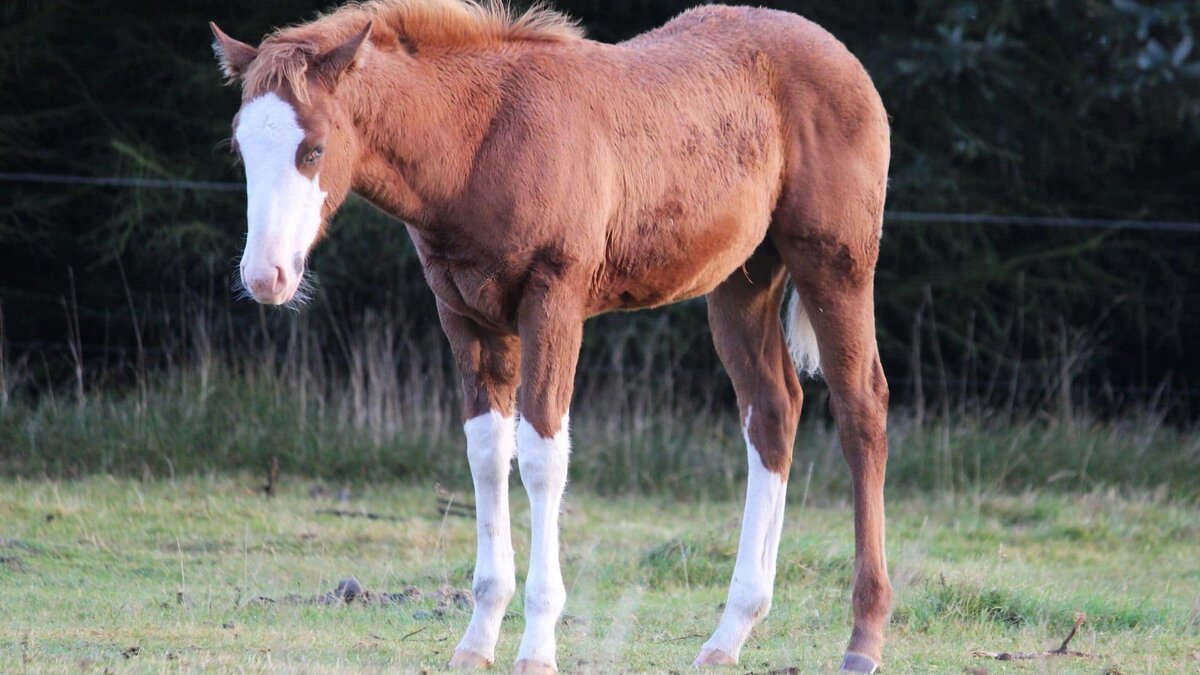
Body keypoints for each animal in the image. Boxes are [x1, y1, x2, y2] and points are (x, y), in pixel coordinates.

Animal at [210, 1, 892, 672]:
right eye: (241, 150)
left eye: (314, 150)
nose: (266, 277)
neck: (482, 141)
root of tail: (847, 61)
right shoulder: (466, 315)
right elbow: (487, 454)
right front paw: (477, 640)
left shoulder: (554, 301)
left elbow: (541, 457)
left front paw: (537, 645)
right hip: (742, 276)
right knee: (772, 411)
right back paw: (730, 634)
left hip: (836, 262)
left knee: (861, 409)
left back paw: (863, 638)